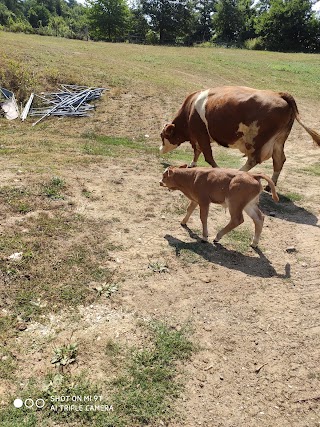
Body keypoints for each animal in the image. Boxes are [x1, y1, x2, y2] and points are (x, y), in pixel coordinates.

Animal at [160, 86, 320, 185]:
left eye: (162, 136)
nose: (160, 150)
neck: (190, 108)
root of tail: (279, 94)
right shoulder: (196, 137)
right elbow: (197, 150)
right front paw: (192, 164)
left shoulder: (201, 134)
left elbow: (207, 155)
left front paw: (217, 169)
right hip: (278, 141)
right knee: (279, 160)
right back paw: (270, 186)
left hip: (257, 140)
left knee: (253, 160)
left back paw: (237, 174)